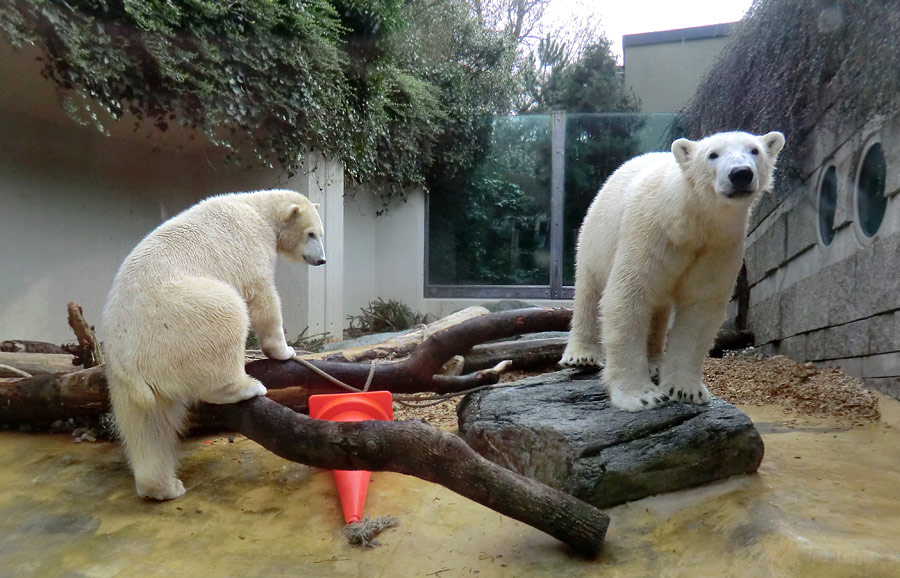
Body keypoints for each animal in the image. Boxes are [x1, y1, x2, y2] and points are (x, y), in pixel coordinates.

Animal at [102, 189, 326, 500]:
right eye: (311, 233)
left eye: (320, 233)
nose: (322, 260)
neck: (257, 209)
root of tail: (128, 359)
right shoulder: (250, 245)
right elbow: (261, 296)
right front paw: (285, 350)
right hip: (179, 319)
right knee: (227, 313)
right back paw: (247, 386)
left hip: (127, 380)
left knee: (149, 425)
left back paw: (165, 487)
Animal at [560, 130, 784, 410]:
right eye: (713, 154)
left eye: (755, 150)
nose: (740, 173)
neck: (689, 221)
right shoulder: (649, 234)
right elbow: (627, 298)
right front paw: (642, 396)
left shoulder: (719, 246)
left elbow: (699, 309)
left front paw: (685, 390)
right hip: (595, 236)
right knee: (589, 289)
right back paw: (581, 355)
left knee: (658, 310)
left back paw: (654, 363)